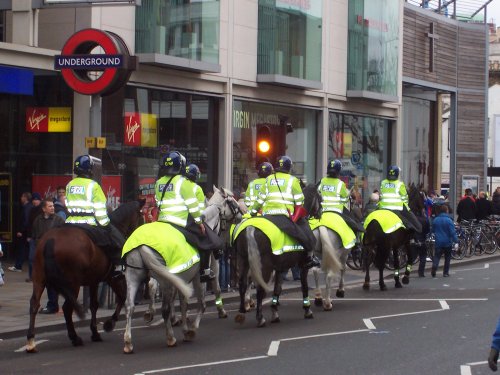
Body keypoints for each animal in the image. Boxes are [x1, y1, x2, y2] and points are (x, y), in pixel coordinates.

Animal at [25, 201, 145, 354]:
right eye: (141, 217)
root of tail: (50, 239)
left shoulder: (94, 280)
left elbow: (94, 304)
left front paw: (95, 331)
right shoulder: (112, 278)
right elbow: (121, 297)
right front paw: (107, 324)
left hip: (39, 278)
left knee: (34, 304)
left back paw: (31, 341)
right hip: (72, 283)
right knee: (67, 308)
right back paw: (75, 338)